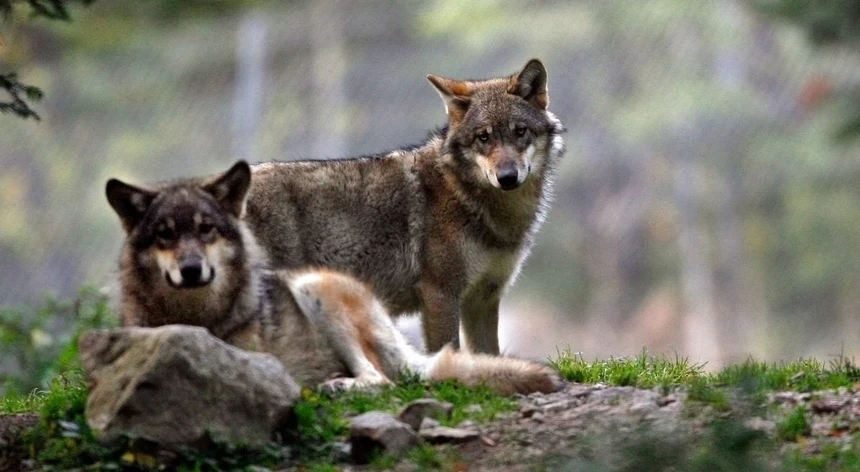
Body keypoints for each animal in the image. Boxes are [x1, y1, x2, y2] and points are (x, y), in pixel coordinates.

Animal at [105, 161, 560, 395]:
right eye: (165, 235)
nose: (192, 269)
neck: (197, 318)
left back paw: (336, 386)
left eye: (206, 230)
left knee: (383, 382)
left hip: (316, 291)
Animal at [245, 59, 566, 355]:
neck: (467, 195)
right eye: (483, 137)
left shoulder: (483, 299)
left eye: (520, 131)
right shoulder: (440, 295)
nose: (507, 177)